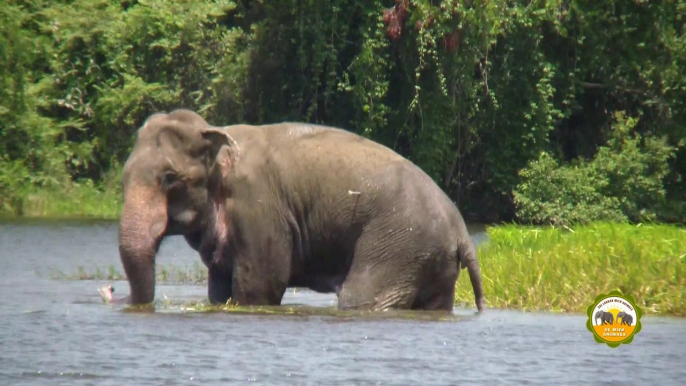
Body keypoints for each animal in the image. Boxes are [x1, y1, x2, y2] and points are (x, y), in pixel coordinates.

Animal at [113, 107, 486, 312]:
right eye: (123, 176)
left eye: (169, 178)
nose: (115, 297)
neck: (216, 134)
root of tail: (462, 232)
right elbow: (219, 288)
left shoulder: (260, 209)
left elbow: (260, 285)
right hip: (432, 259)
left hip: (399, 245)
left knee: (361, 297)